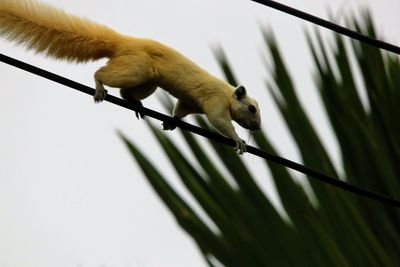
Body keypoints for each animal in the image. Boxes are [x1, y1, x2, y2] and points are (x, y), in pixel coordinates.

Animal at [0, 0, 260, 154]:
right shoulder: (215, 100)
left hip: (148, 82)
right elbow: (219, 121)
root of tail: (124, 42)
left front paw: (172, 121)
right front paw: (238, 140)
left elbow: (181, 108)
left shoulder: (192, 102)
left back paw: (135, 103)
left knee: (126, 92)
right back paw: (99, 86)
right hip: (136, 68)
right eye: (251, 109)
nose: (257, 128)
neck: (228, 93)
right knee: (104, 74)